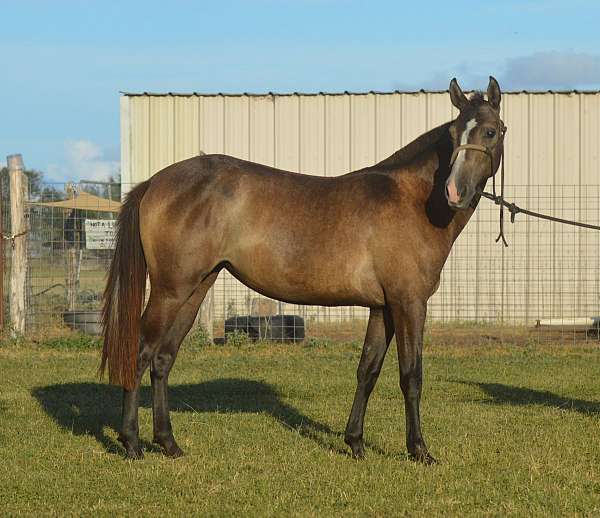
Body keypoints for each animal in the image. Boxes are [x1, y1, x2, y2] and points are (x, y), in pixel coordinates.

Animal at [102, 76, 506, 464]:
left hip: (194, 289)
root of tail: (155, 181)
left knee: (162, 359)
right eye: (454, 133)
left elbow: (368, 370)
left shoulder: (383, 306)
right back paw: (132, 443)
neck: (412, 200)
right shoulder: (409, 303)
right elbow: (411, 376)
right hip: (170, 291)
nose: (455, 191)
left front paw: (355, 443)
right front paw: (419, 450)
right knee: (141, 354)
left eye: (490, 131)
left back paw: (169, 444)